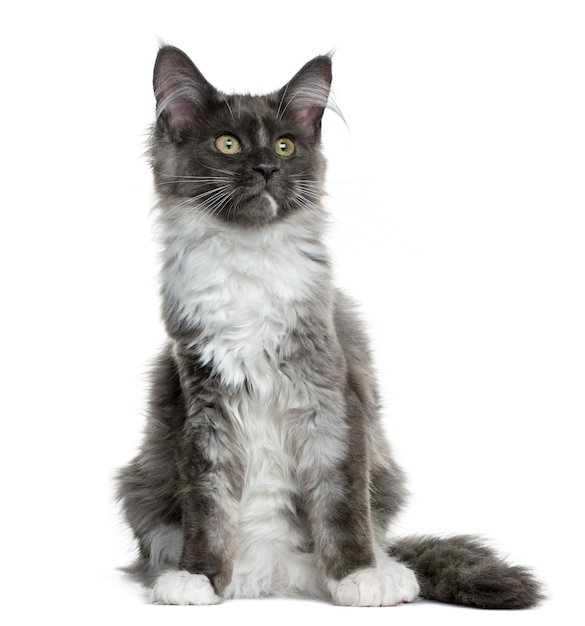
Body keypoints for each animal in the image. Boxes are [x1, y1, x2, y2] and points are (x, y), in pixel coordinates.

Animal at [115, 42, 544, 604]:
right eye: (228, 144)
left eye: (285, 146)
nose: (266, 169)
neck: (250, 259)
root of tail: (273, 573)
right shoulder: (201, 402)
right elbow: (207, 506)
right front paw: (199, 577)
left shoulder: (330, 390)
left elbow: (341, 497)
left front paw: (359, 575)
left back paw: (386, 571)